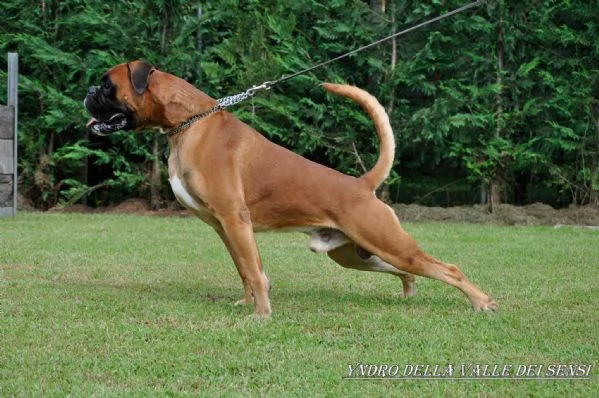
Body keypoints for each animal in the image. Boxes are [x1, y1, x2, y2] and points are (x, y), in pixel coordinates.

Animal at [83, 61, 496, 318]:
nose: (87, 92)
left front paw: (262, 314)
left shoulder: (235, 221)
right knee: (408, 271)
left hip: (387, 243)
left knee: (448, 268)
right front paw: (248, 304)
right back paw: (411, 291)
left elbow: (254, 270)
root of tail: (361, 184)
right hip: (356, 254)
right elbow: (245, 270)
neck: (190, 122)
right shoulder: (225, 228)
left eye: (106, 85)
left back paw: (482, 303)